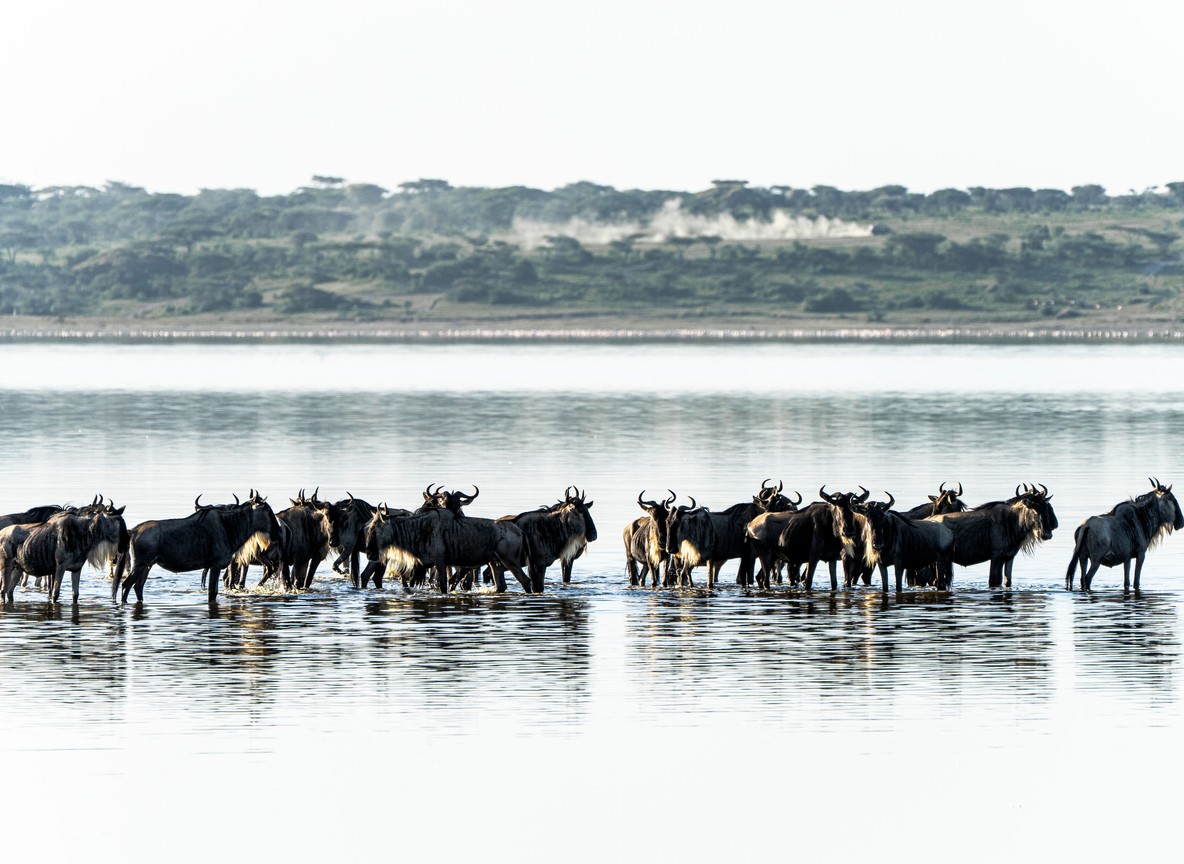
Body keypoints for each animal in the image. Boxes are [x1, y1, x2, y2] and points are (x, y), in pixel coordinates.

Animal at [113, 490, 281, 604]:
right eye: (266, 509)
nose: (278, 532)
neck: (228, 526)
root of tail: (132, 531)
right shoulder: (215, 566)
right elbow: (212, 592)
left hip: (147, 566)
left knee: (138, 587)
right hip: (140, 565)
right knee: (126, 585)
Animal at [928, 484, 1058, 588]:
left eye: (1046, 507)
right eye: (1034, 508)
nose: (1046, 534)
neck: (1012, 521)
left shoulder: (1009, 557)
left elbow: (1007, 581)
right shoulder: (996, 557)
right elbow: (994, 581)